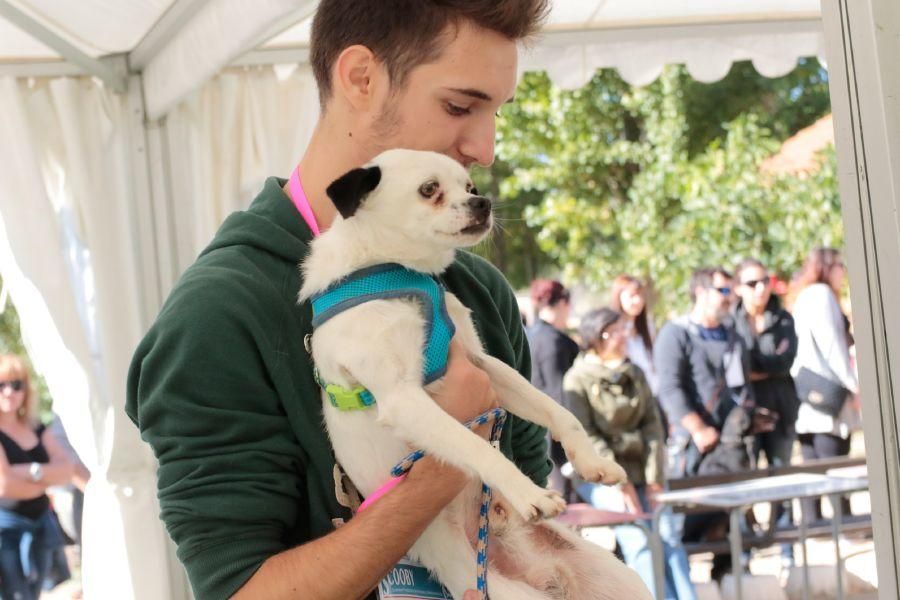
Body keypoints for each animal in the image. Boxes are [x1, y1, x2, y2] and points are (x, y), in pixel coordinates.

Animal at [302, 150, 652, 600]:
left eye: (469, 186)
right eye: (429, 189)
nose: (482, 202)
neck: (394, 269)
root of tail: (546, 576)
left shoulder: (484, 365)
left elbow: (557, 411)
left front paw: (592, 461)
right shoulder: (403, 398)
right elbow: (477, 447)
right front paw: (528, 493)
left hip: (620, 582)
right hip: (501, 590)